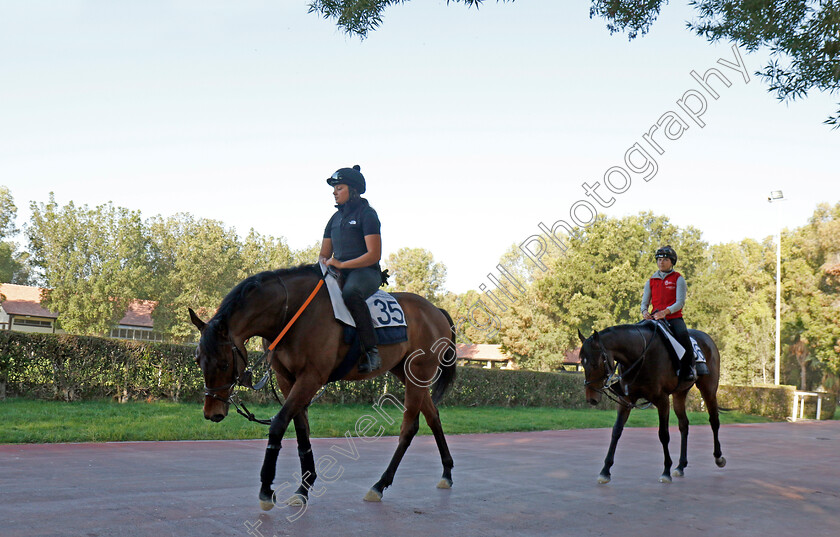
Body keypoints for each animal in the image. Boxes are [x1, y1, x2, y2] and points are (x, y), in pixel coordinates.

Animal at [189, 266, 460, 508]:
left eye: (224, 363)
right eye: (197, 360)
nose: (212, 412)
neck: (292, 314)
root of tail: (436, 310)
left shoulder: (311, 378)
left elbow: (279, 424)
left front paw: (267, 488)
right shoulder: (288, 380)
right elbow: (301, 430)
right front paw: (304, 487)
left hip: (419, 372)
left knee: (409, 427)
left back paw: (380, 485)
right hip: (407, 373)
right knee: (433, 416)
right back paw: (446, 472)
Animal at [580, 320, 724, 484]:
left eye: (595, 363)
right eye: (582, 363)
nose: (591, 397)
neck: (641, 355)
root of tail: (707, 338)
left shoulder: (662, 400)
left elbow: (663, 434)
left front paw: (666, 470)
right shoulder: (626, 400)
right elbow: (616, 431)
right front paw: (605, 470)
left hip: (709, 389)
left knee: (714, 421)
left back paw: (718, 457)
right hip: (679, 394)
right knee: (684, 425)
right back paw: (681, 465)